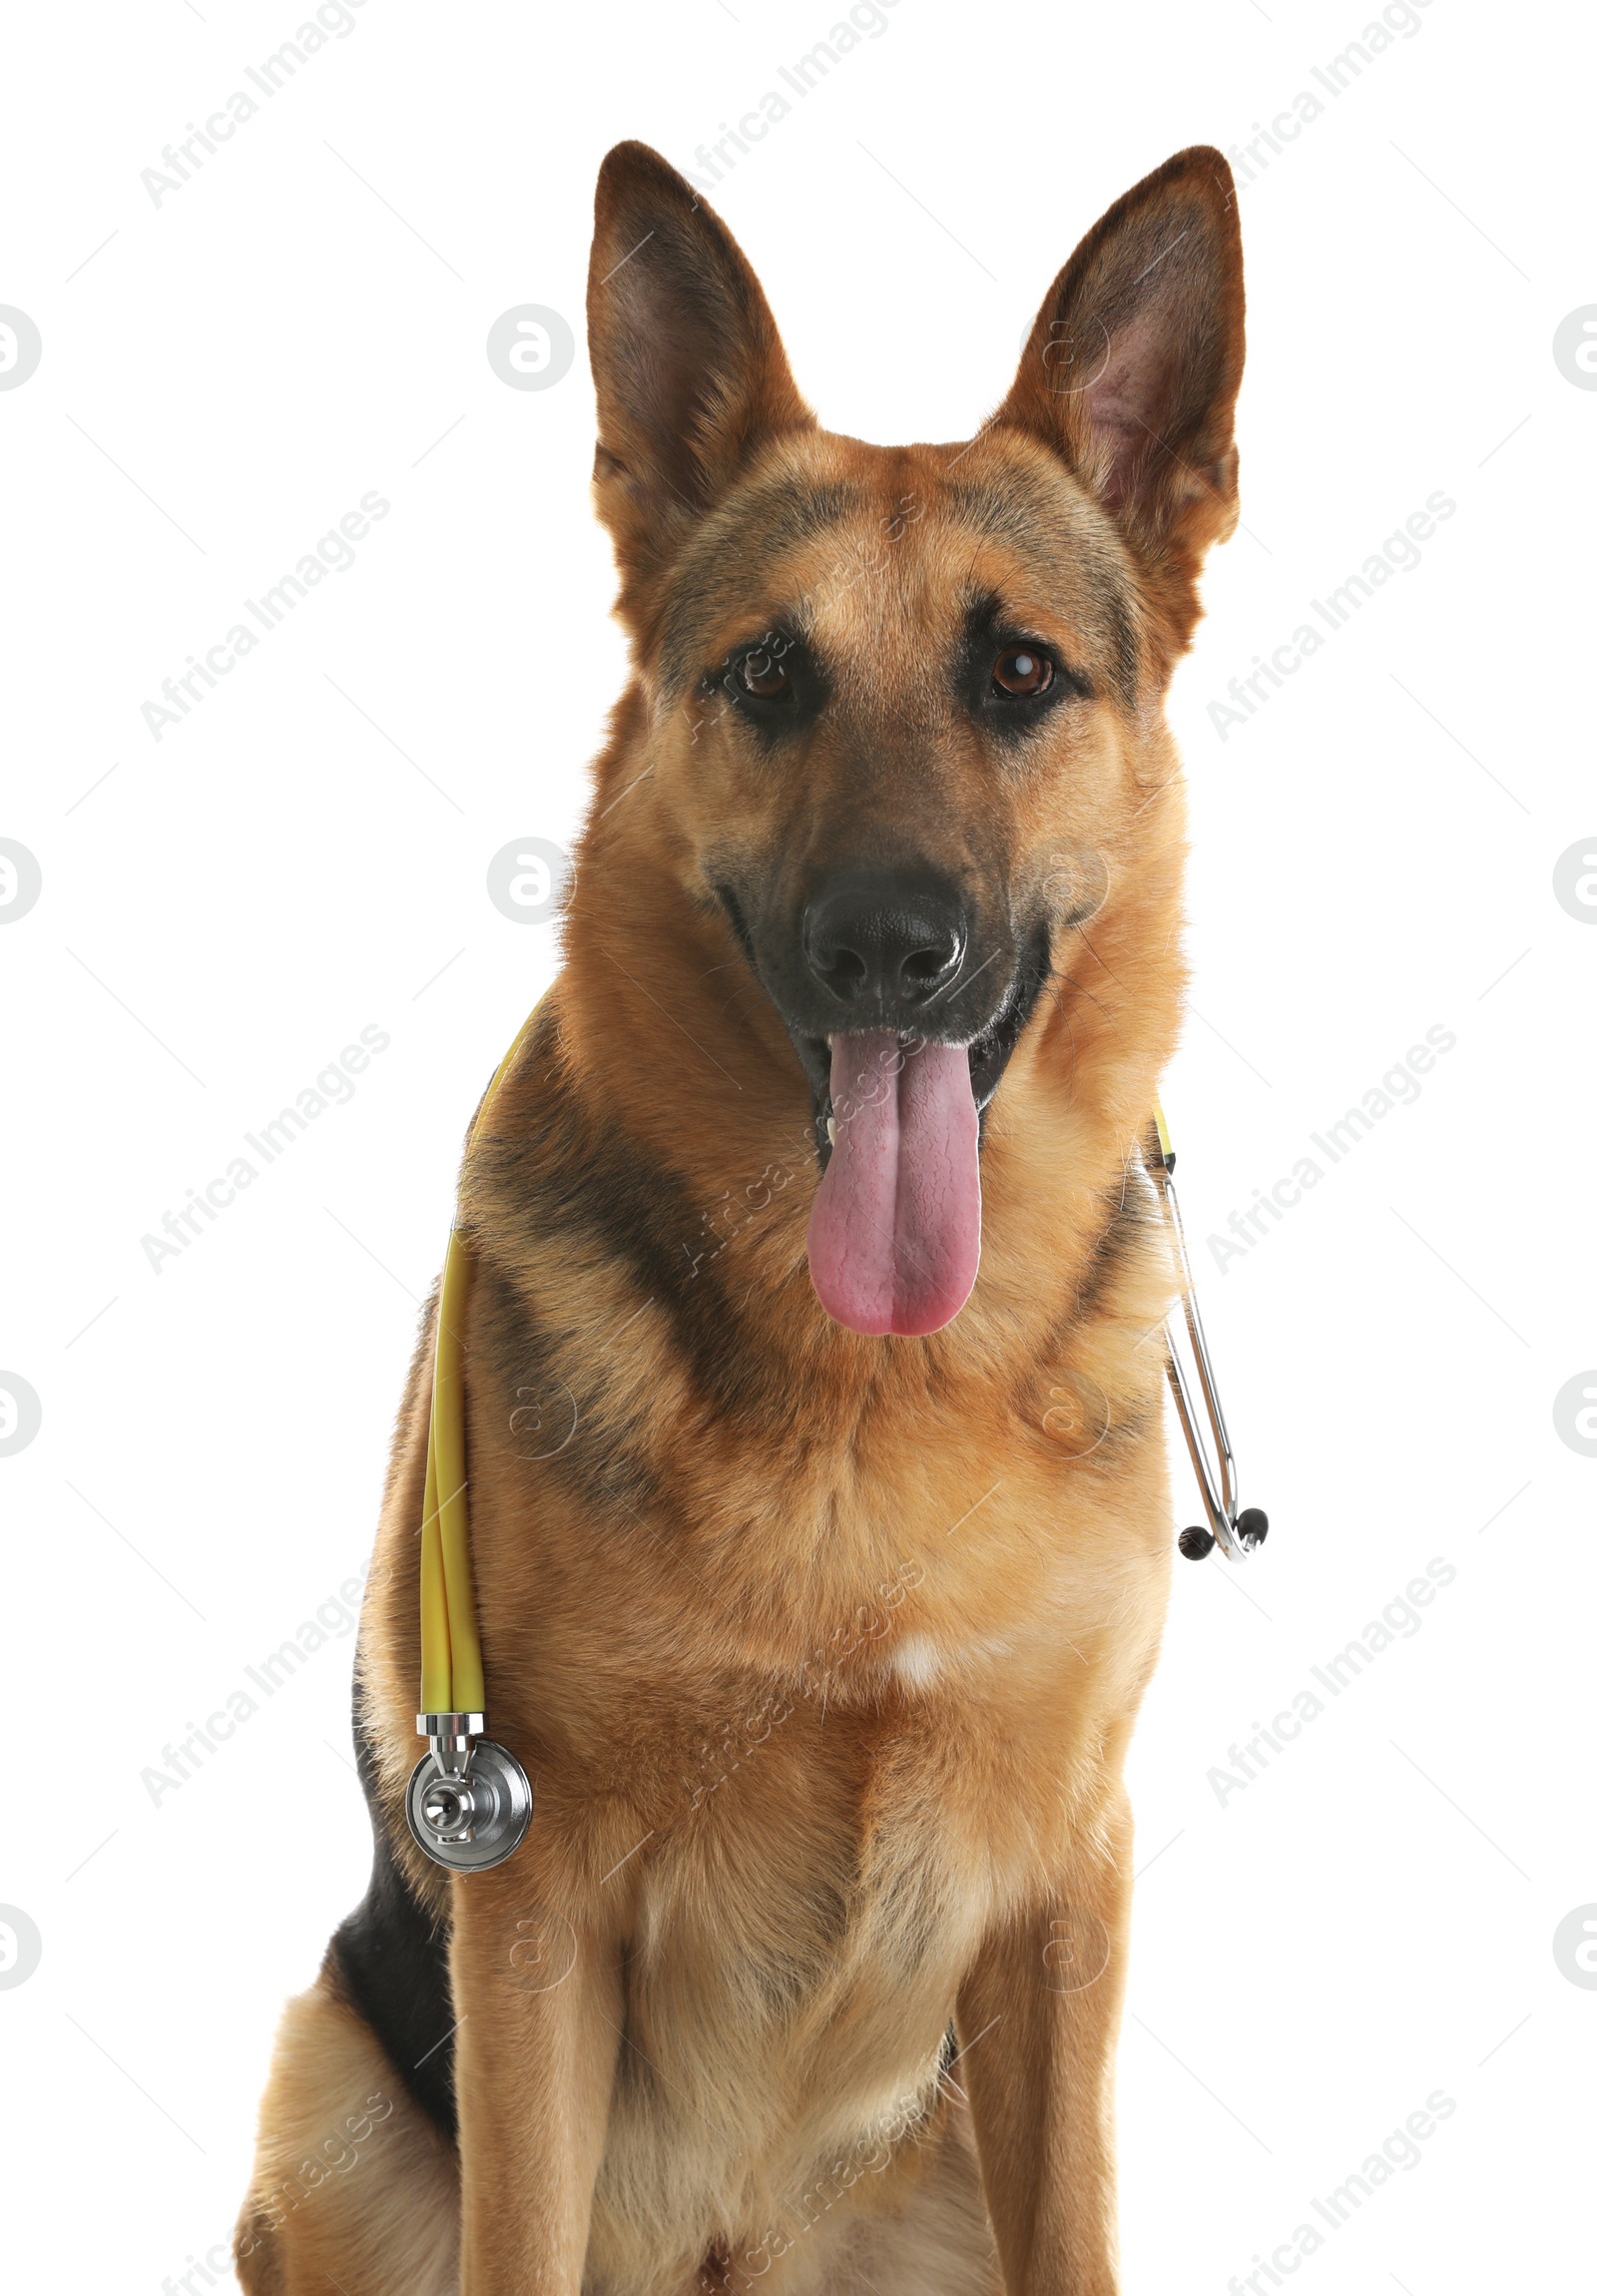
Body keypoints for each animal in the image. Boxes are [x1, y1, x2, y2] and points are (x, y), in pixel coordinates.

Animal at [234, 134, 1248, 2286]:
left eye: (1019, 673)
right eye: (768, 674)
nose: (888, 951)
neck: (878, 1385)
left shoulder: (1065, 1896)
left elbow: (1080, 2228)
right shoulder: (531, 1909)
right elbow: (521, 2228)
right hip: (330, 2090)